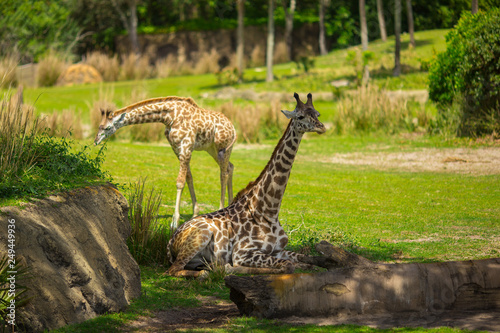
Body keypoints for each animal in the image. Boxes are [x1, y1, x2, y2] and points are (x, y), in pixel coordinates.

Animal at [94, 94, 238, 227]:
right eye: (99, 126)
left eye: (107, 128)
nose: (96, 141)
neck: (169, 117)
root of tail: (233, 127)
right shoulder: (177, 148)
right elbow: (188, 177)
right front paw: (194, 214)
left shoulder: (186, 146)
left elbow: (180, 182)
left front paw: (175, 221)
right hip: (211, 149)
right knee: (230, 167)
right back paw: (231, 206)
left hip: (222, 148)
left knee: (223, 174)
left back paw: (221, 209)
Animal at [166, 92, 326, 276]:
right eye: (300, 116)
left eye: (317, 114)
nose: (321, 127)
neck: (269, 210)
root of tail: (169, 242)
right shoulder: (242, 252)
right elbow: (287, 265)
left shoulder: (278, 250)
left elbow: (310, 259)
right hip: (201, 236)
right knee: (173, 270)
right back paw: (210, 272)